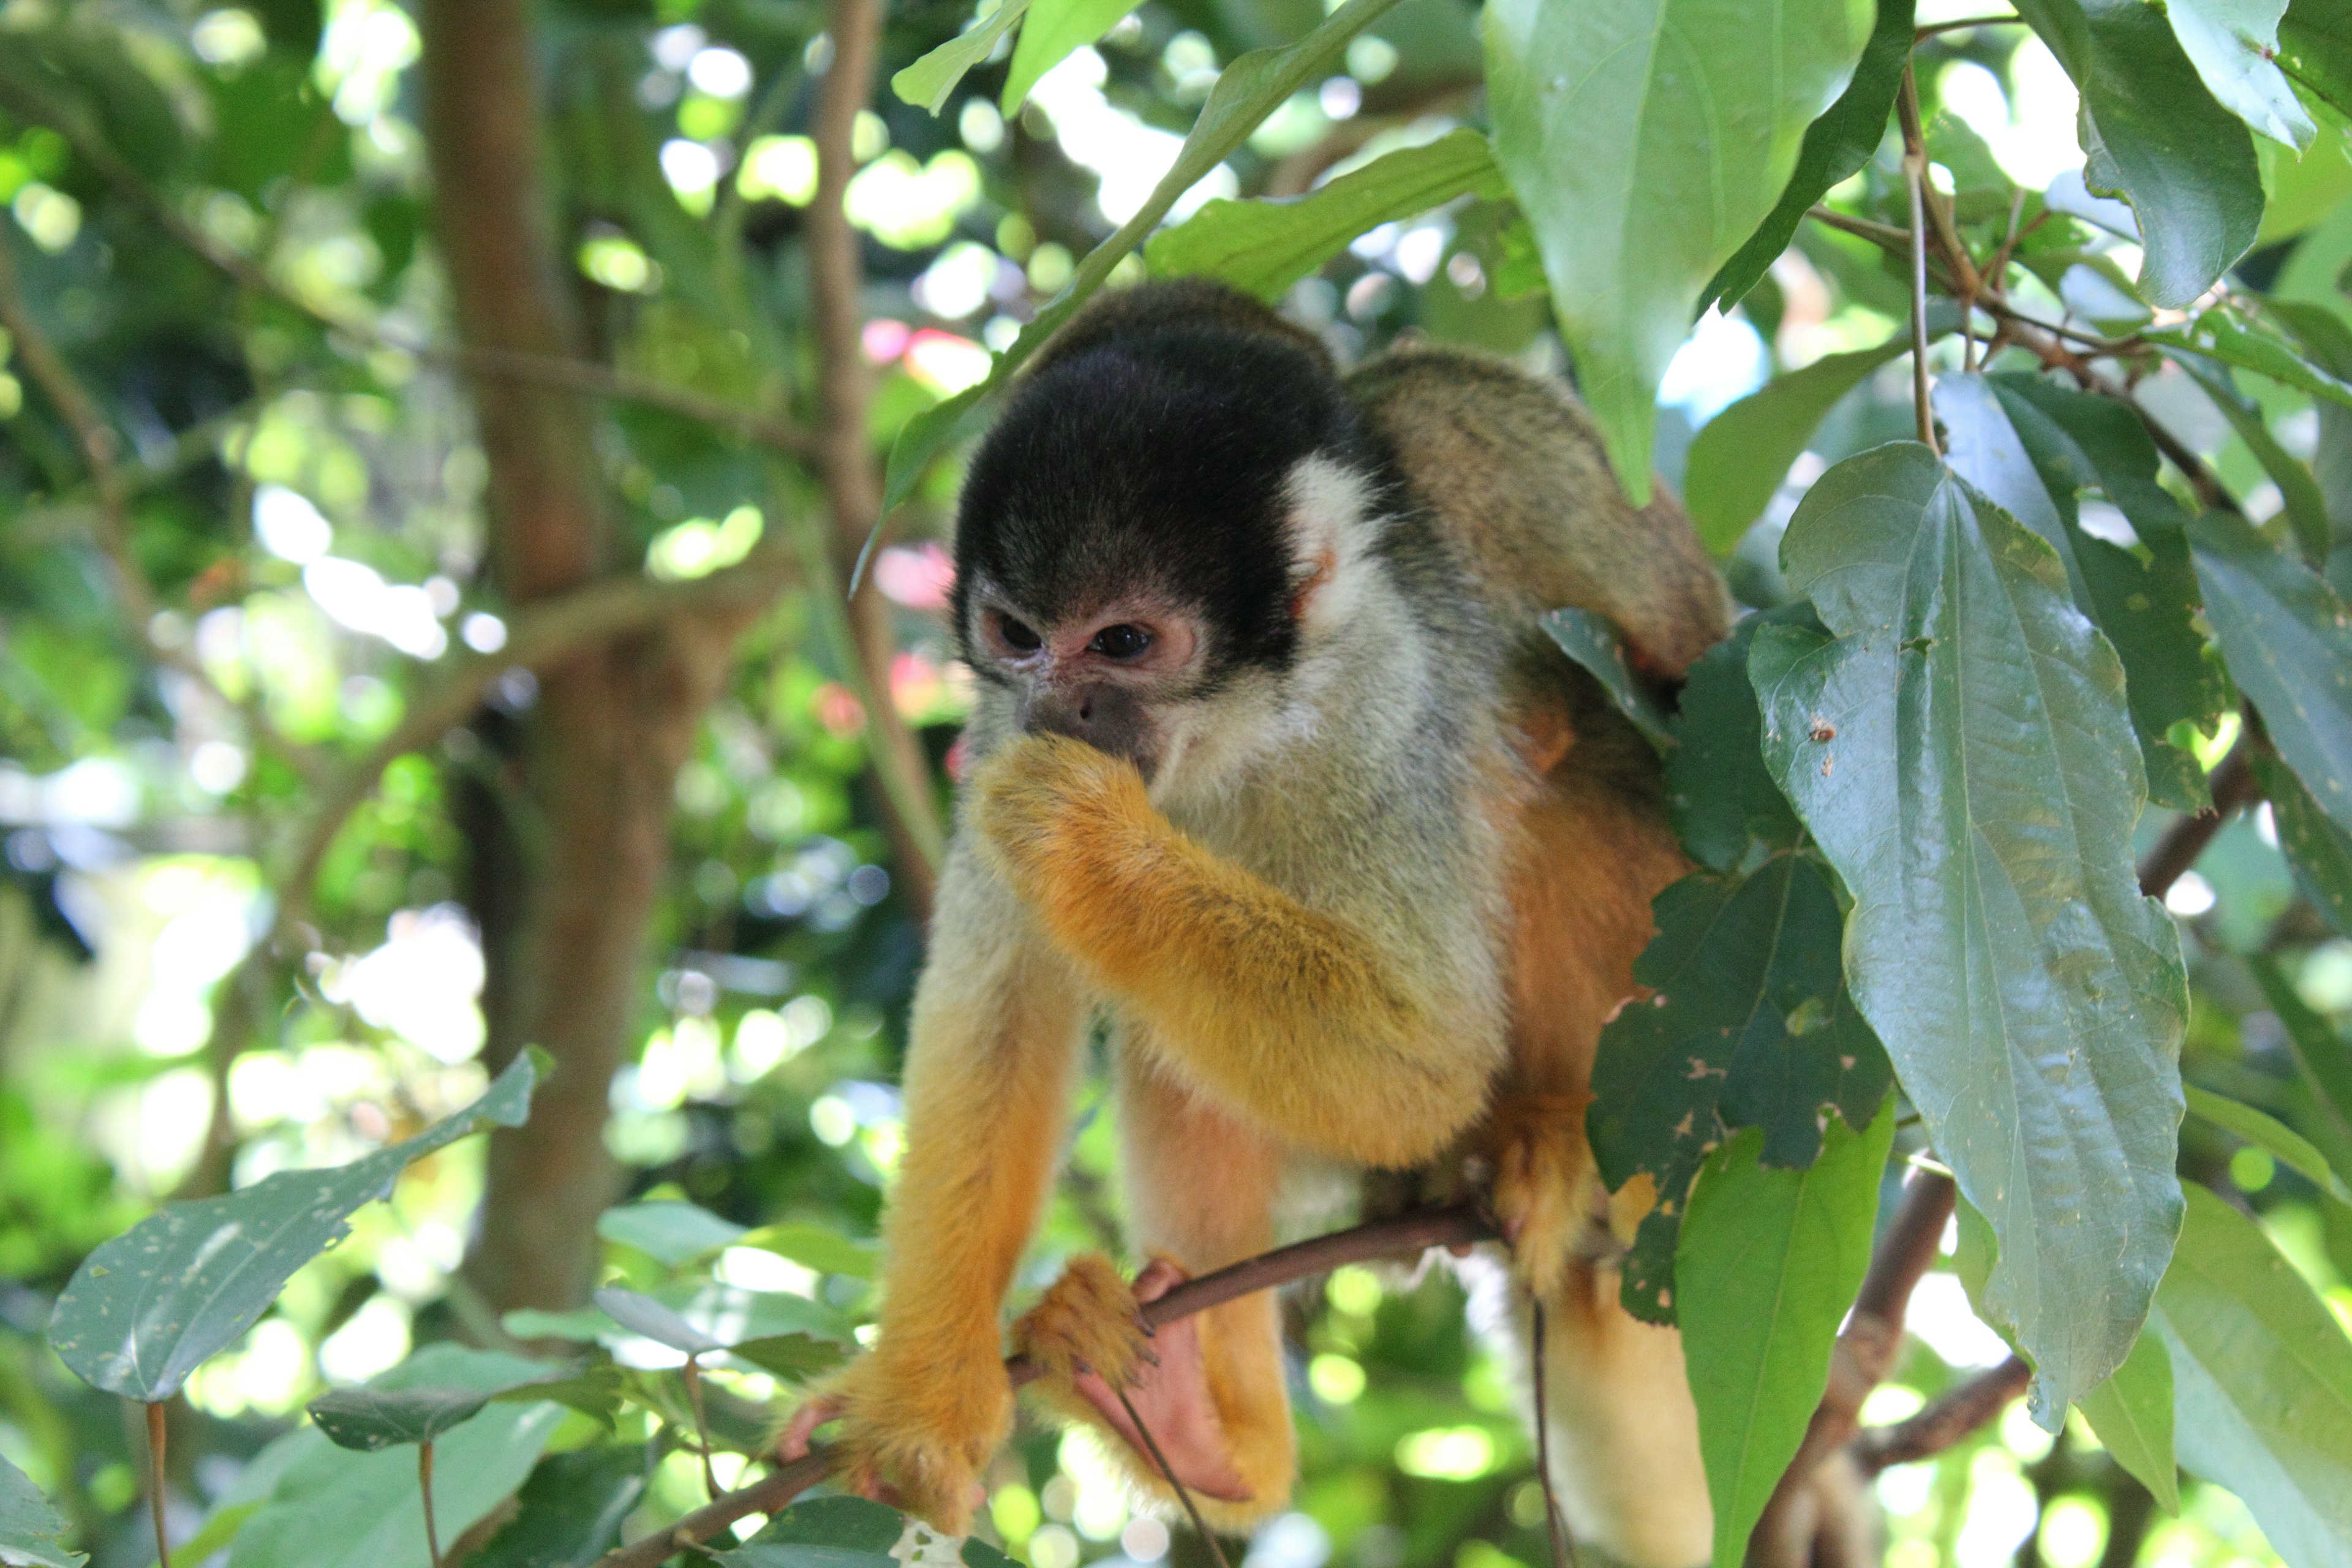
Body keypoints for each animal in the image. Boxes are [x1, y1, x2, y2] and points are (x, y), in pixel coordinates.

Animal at [780, 276, 1740, 1561]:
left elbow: (1425, 1057)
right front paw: (917, 1413)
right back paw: (1206, 1429)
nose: (1061, 713)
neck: (1225, 734)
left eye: (1125, 642)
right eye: (1019, 636)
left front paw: (1084, 840)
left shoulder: (1383, 700)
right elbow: (996, 1014)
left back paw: (1552, 1141)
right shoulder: (990, 733)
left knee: (1574, 751)